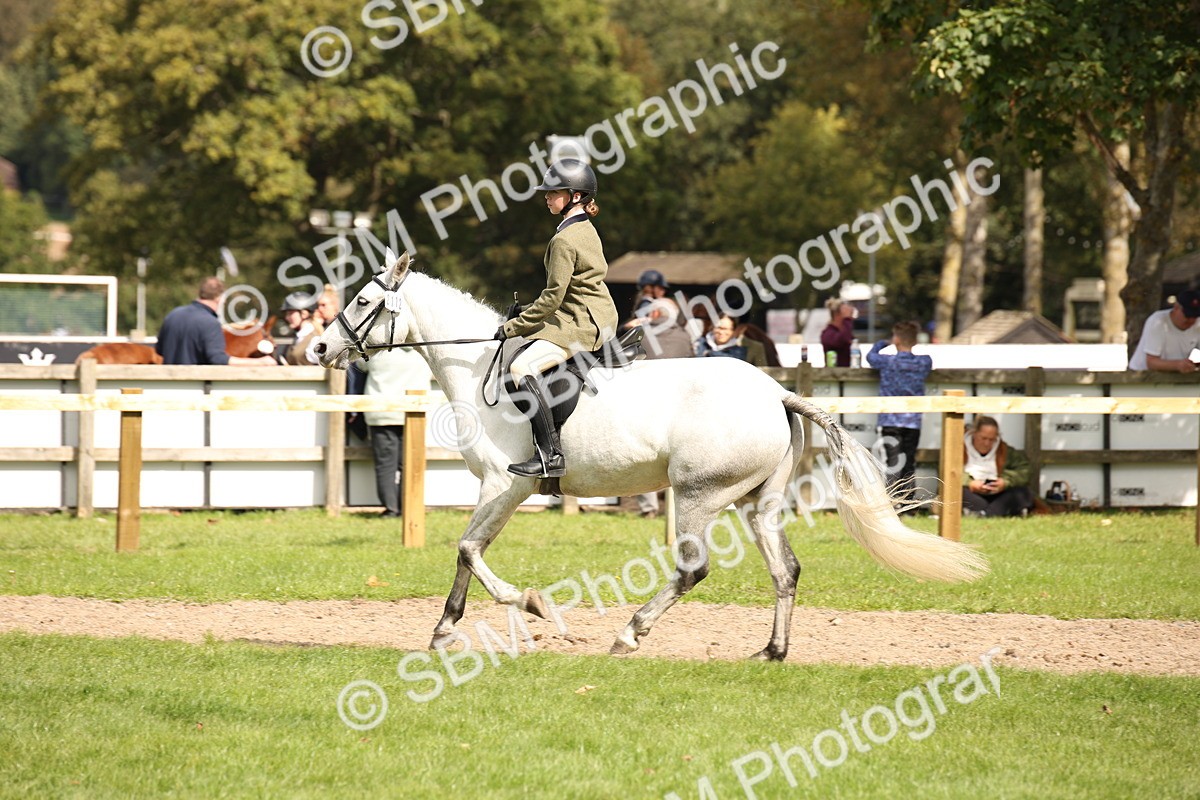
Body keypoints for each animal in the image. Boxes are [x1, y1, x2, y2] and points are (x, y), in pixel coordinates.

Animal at [315, 252, 988, 661]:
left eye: (364, 301)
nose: (318, 346)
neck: (483, 368)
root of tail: (775, 390)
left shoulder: (506, 486)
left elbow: (469, 549)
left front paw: (532, 606)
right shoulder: (501, 491)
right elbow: (466, 554)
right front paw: (444, 628)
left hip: (697, 496)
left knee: (693, 570)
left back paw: (629, 634)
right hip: (757, 503)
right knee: (785, 571)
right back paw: (771, 651)